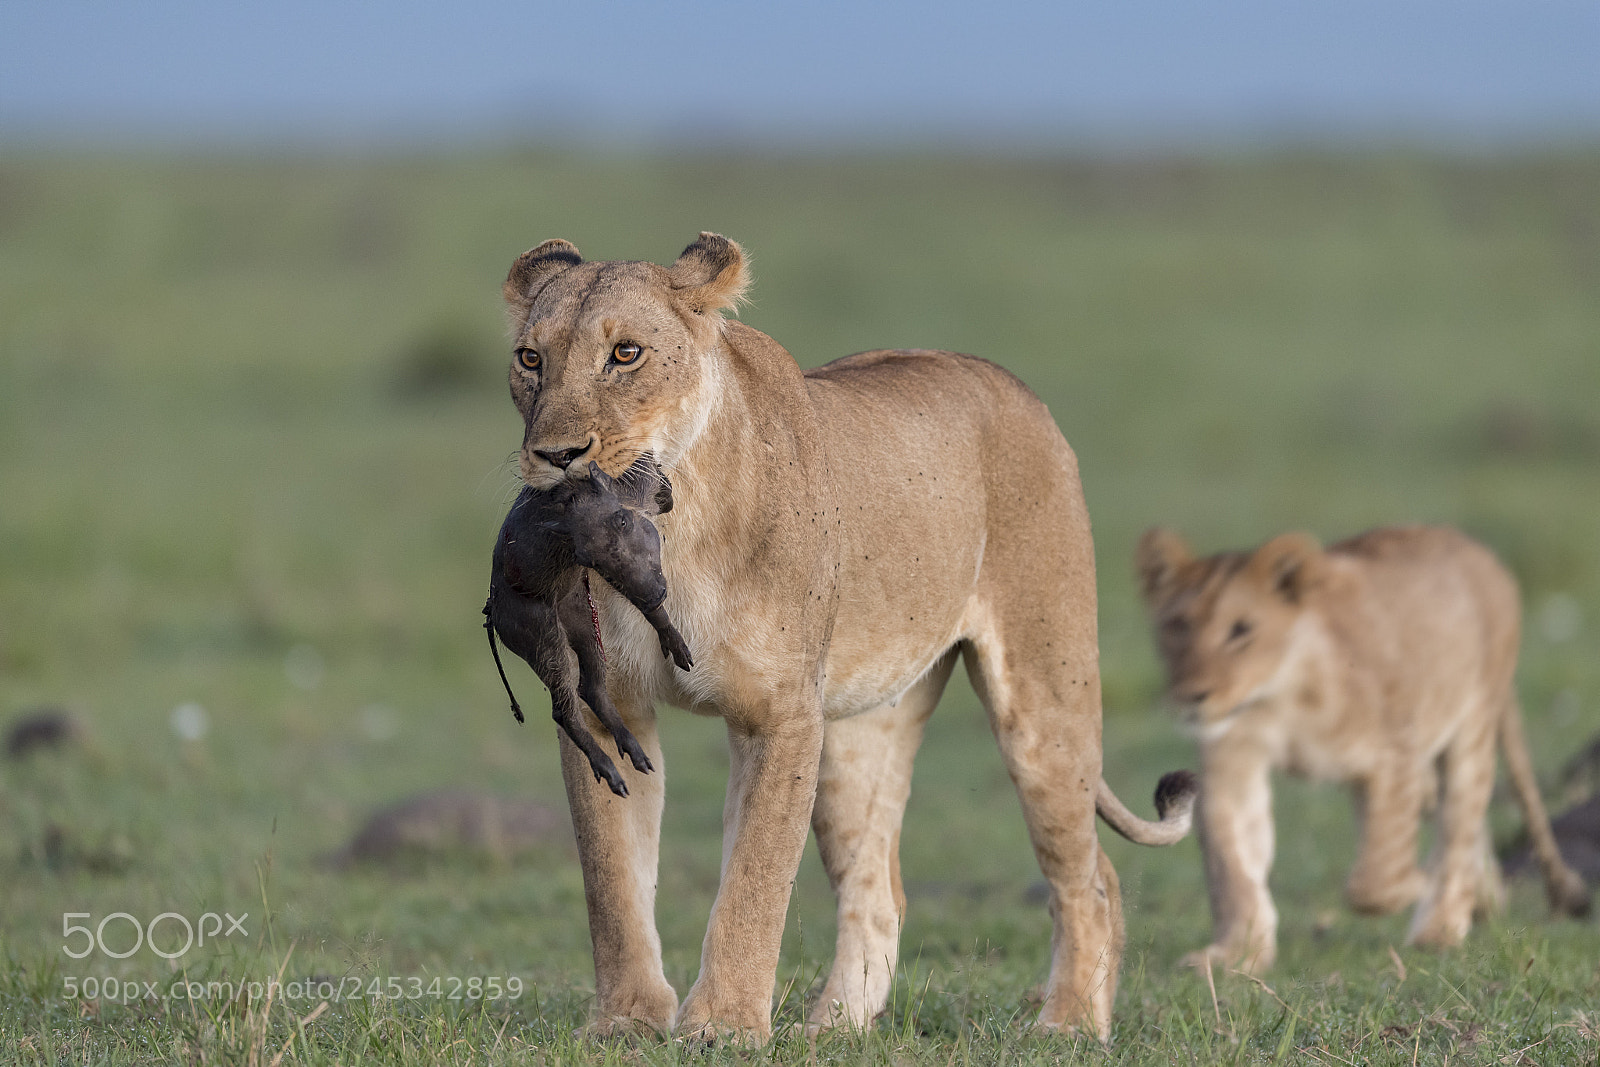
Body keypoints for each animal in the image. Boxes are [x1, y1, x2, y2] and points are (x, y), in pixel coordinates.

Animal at [498, 233, 1196, 1043]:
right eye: (530, 359)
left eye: (626, 353)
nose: (556, 456)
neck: (671, 516)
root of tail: (1013, 385)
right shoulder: (607, 704)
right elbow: (612, 876)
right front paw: (627, 1023)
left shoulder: (781, 713)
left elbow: (755, 879)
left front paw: (723, 1026)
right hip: (857, 733)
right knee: (880, 890)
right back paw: (833, 1028)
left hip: (1043, 696)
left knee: (1090, 876)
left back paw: (1071, 1024)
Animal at [1136, 524, 1590, 975]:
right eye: (1177, 625)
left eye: (1241, 629)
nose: (1193, 696)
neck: (1281, 698)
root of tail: (1475, 548)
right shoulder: (1232, 764)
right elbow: (1233, 867)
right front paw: (1237, 955)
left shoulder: (1393, 755)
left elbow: (1375, 879)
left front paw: (1416, 883)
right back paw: (1482, 900)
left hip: (1472, 726)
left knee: (1459, 825)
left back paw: (1441, 926)